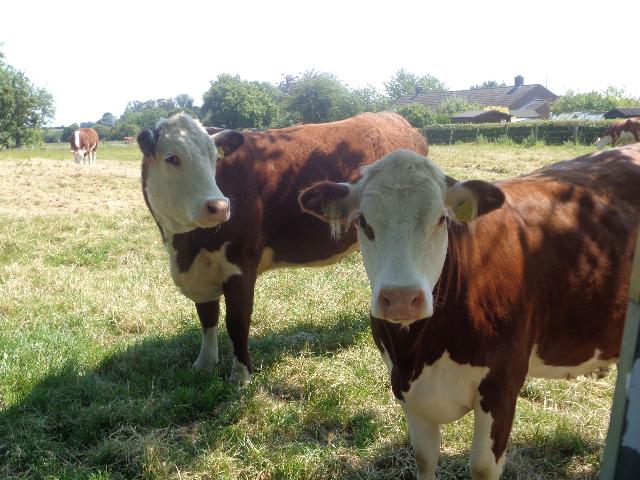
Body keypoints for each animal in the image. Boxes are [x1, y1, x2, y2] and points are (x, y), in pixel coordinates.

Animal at [137, 112, 427, 384]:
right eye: (172, 158)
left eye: (213, 159)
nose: (218, 206)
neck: (185, 247)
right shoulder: (198, 271)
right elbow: (207, 316)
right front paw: (204, 363)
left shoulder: (242, 264)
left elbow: (237, 321)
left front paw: (241, 374)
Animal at [298, 144, 640, 479]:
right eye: (364, 222)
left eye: (441, 219)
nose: (400, 297)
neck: (421, 351)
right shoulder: (404, 385)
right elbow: (424, 457)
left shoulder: (502, 383)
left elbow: (482, 467)